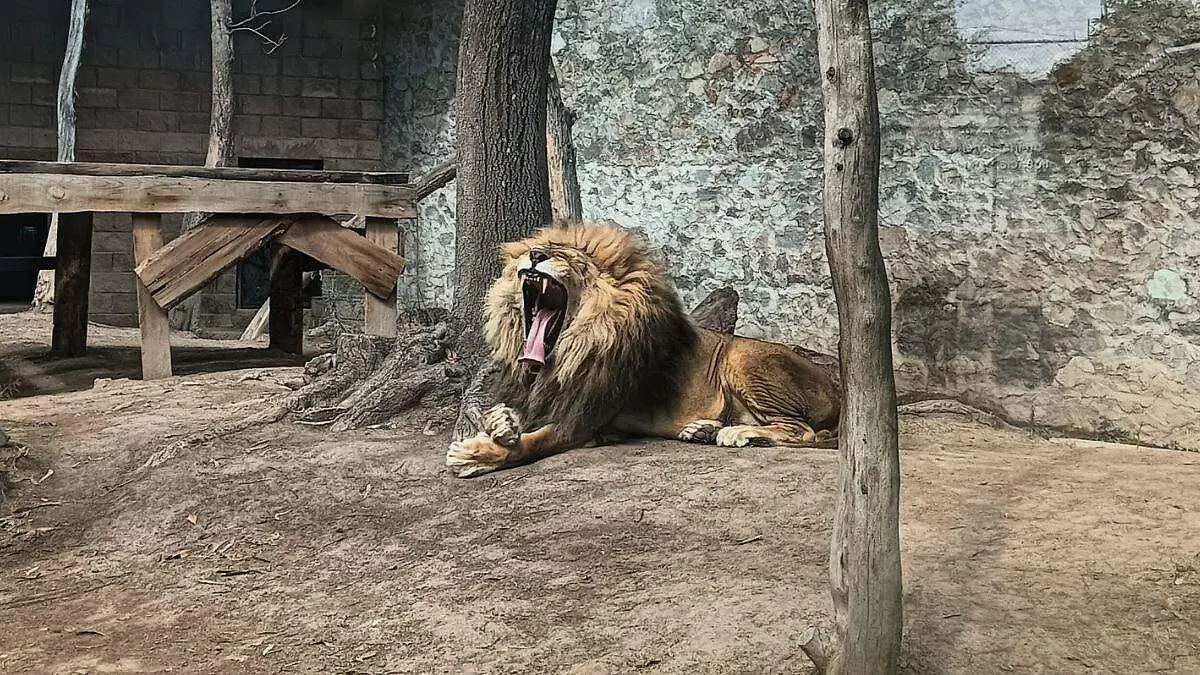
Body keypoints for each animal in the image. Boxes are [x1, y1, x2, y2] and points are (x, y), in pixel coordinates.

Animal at [446, 218, 840, 475]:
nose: (537, 255)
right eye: (537, 251)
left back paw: (735, 434)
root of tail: (837, 389)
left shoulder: (582, 420)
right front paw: (499, 424)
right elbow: (502, 415)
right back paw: (702, 430)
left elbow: (532, 443)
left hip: (743, 359)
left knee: (802, 431)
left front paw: (472, 455)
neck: (563, 356)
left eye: (573, 260)